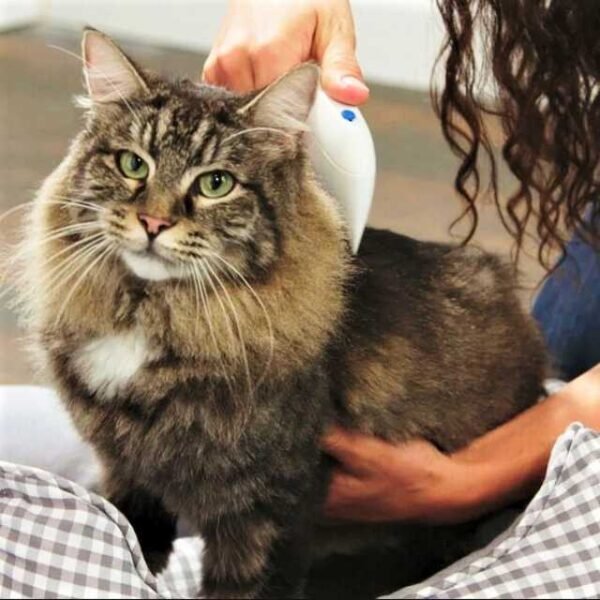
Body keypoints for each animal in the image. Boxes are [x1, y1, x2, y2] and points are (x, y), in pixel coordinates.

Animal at [14, 29, 548, 600]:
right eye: (133, 164)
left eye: (216, 183)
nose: (153, 222)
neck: (154, 317)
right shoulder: (126, 472)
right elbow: (130, 544)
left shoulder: (267, 505)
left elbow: (242, 584)